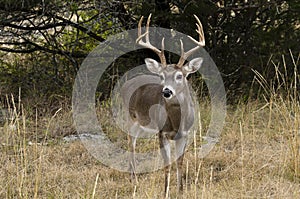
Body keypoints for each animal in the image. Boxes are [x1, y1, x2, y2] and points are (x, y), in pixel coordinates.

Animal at [120, 14, 205, 197]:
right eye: (161, 76)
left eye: (180, 76)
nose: (166, 91)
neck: (176, 122)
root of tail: (127, 83)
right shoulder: (162, 133)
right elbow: (167, 164)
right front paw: (165, 192)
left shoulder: (184, 134)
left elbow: (179, 162)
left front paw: (181, 191)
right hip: (130, 118)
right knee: (131, 143)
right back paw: (134, 180)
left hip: (143, 125)